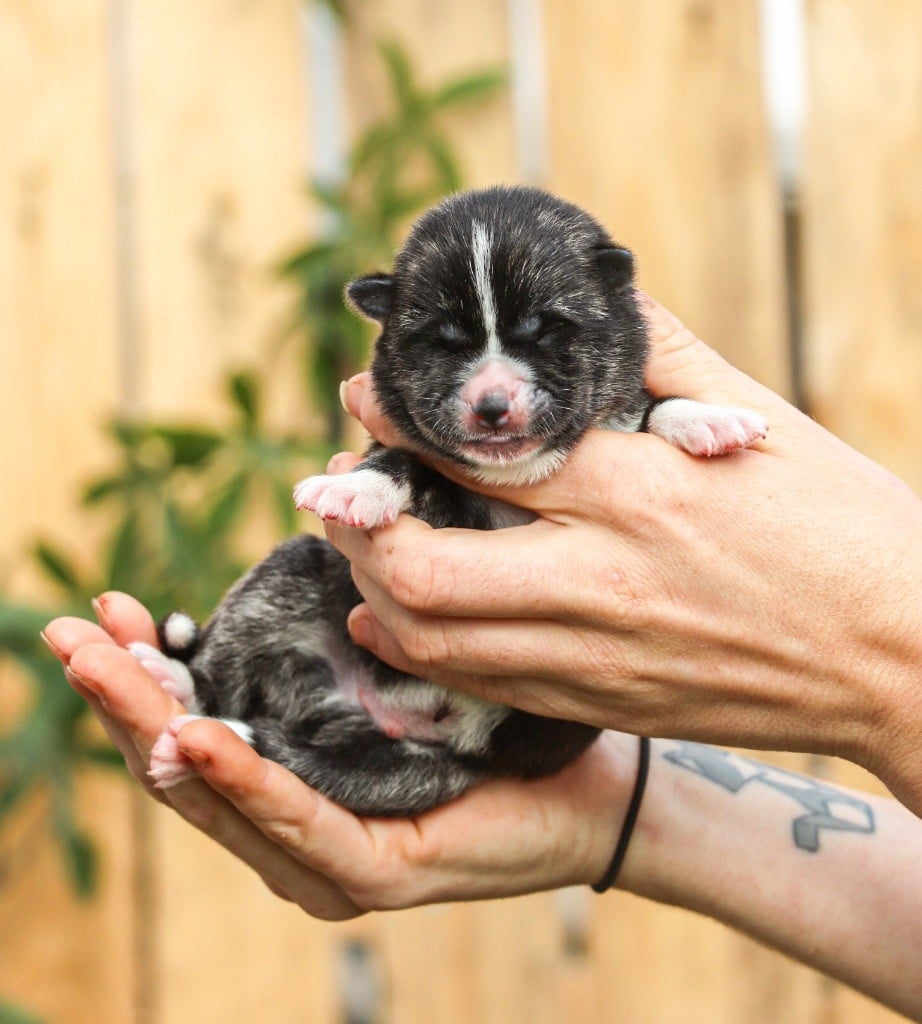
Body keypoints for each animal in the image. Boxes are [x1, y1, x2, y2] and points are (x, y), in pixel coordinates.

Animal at [131, 186, 766, 816]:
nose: (491, 405)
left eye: (541, 328)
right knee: (225, 673)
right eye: (444, 340)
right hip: (285, 579)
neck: (518, 478)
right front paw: (356, 487)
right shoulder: (429, 475)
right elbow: (406, 459)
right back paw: (173, 682)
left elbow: (651, 405)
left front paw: (707, 417)